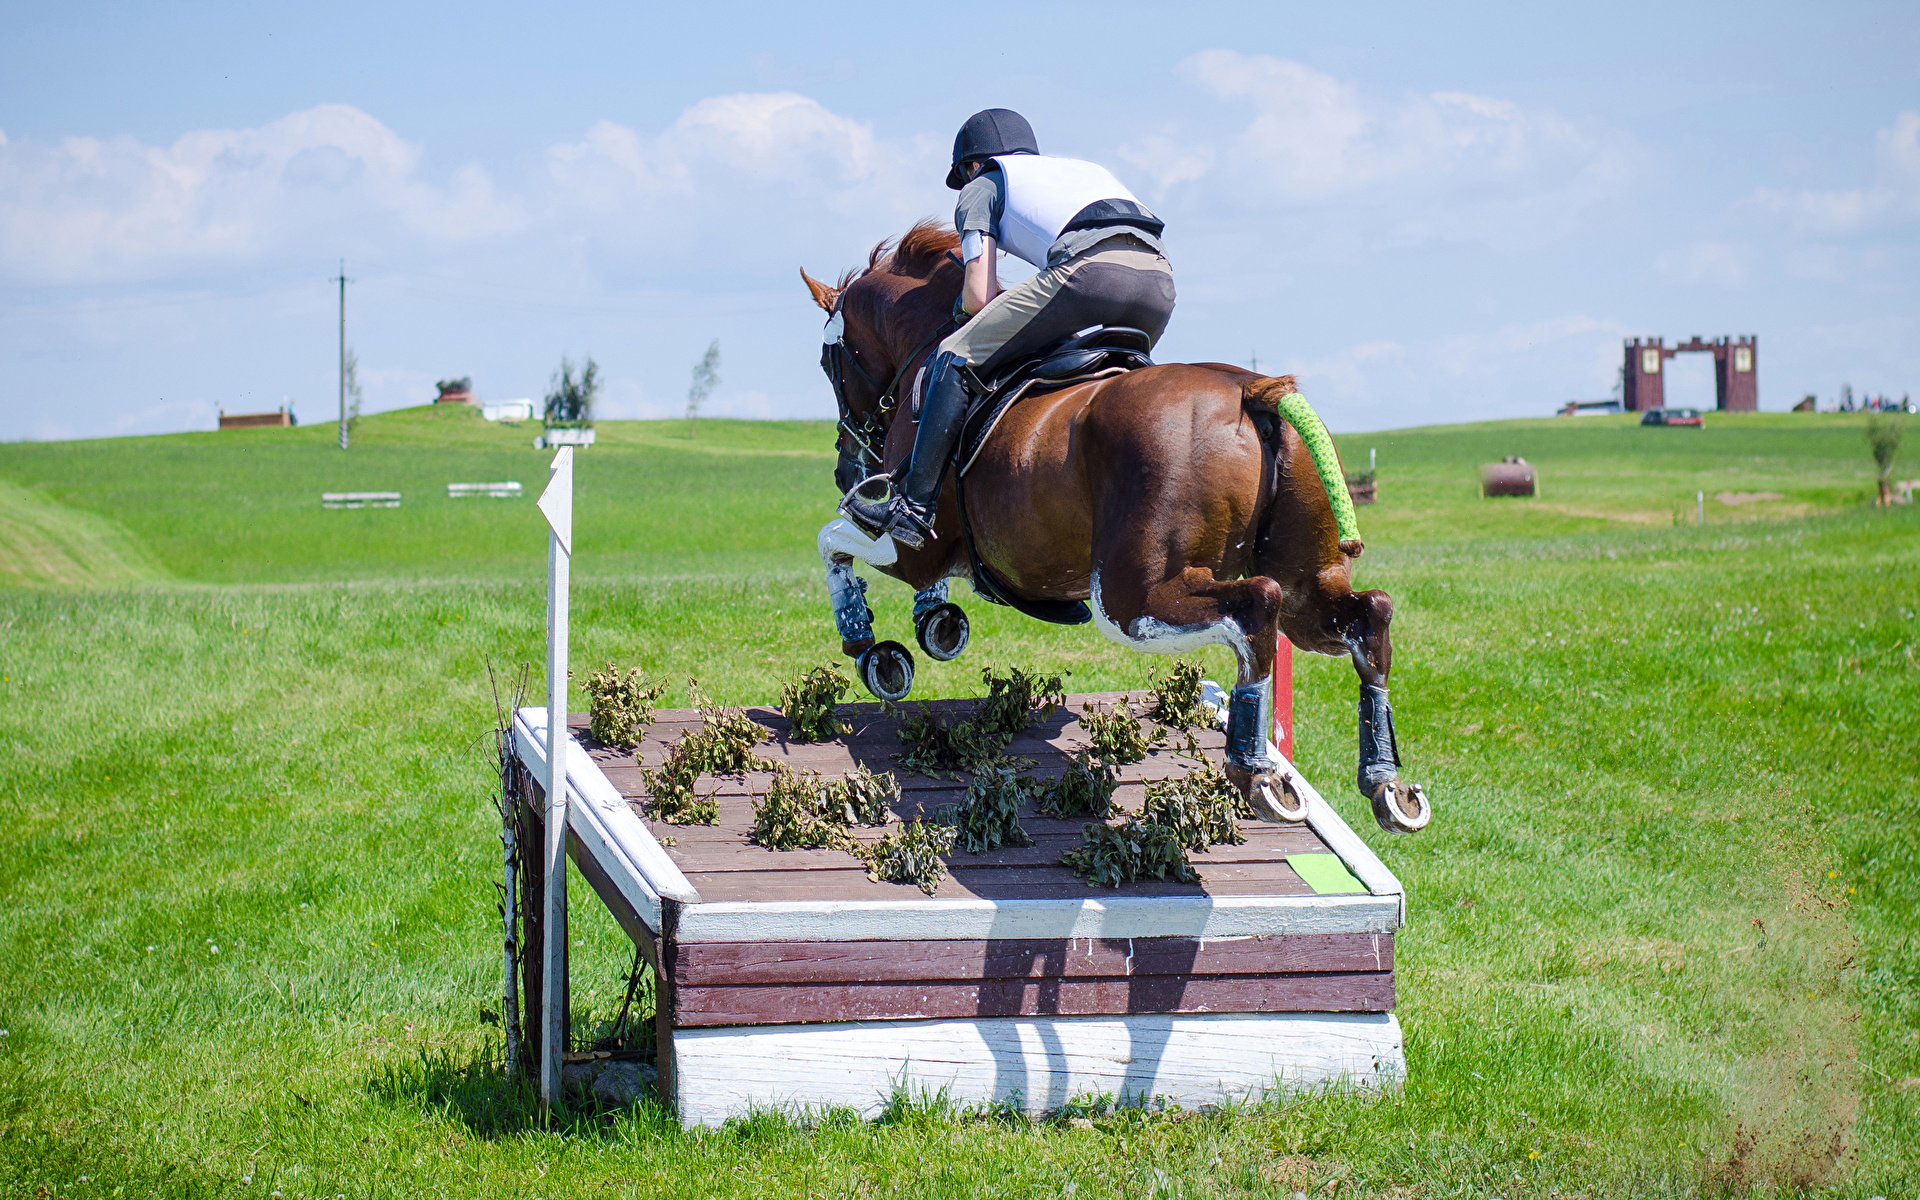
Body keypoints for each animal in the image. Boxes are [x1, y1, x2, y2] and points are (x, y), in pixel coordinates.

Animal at [794, 219, 1428, 829]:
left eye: (829, 363)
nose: (844, 468)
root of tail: (1254, 392)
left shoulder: (914, 547)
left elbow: (834, 544)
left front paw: (872, 649)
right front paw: (939, 623)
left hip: (1129, 600)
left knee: (1257, 607)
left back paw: (1254, 769)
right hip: (1305, 589)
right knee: (1365, 615)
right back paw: (1386, 782)